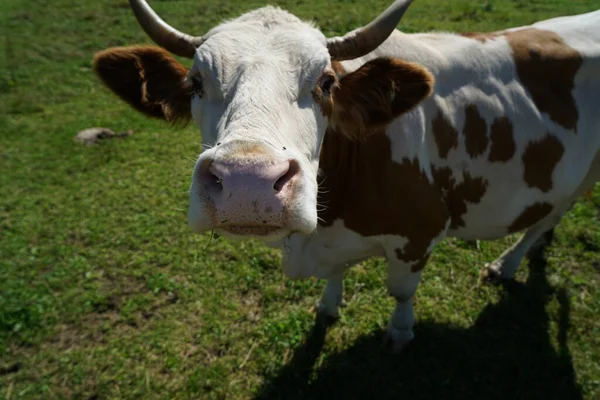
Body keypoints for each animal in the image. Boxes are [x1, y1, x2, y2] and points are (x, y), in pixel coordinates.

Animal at [94, 0, 600, 350]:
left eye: (326, 83)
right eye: (195, 83)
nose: (247, 183)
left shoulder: (419, 233)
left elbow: (401, 291)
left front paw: (400, 332)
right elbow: (335, 278)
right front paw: (327, 306)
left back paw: (506, 263)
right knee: (555, 211)